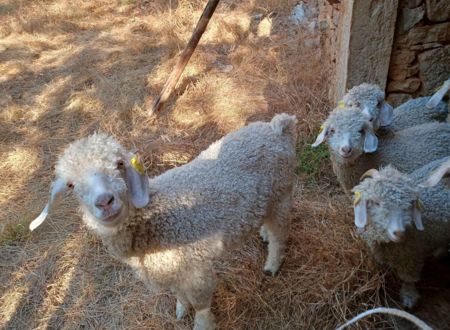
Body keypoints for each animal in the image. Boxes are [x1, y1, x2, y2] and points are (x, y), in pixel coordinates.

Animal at [30, 114, 298, 330]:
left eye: (119, 164)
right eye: (71, 185)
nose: (105, 202)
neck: (157, 218)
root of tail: (277, 127)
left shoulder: (196, 268)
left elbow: (201, 306)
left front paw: (201, 325)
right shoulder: (170, 268)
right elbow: (178, 293)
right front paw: (180, 310)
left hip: (282, 194)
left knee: (280, 234)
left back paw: (272, 265)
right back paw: (263, 233)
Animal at [352, 161, 450, 308]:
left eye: (409, 204)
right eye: (376, 202)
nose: (399, 233)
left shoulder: (412, 256)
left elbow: (408, 279)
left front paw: (409, 296)